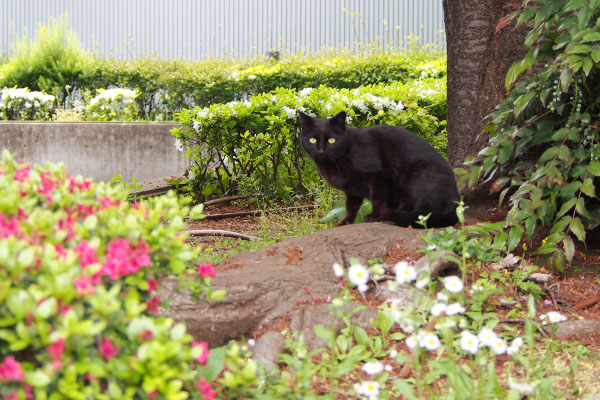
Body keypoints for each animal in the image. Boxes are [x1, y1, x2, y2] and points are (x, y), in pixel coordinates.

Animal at [300, 111, 460, 228]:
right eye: (312, 140)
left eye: (331, 140)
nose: (321, 151)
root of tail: (455, 202)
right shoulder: (352, 189)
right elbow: (351, 207)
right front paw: (345, 223)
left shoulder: (380, 177)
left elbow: (378, 199)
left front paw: (375, 216)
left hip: (418, 173)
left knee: (419, 213)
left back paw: (392, 217)